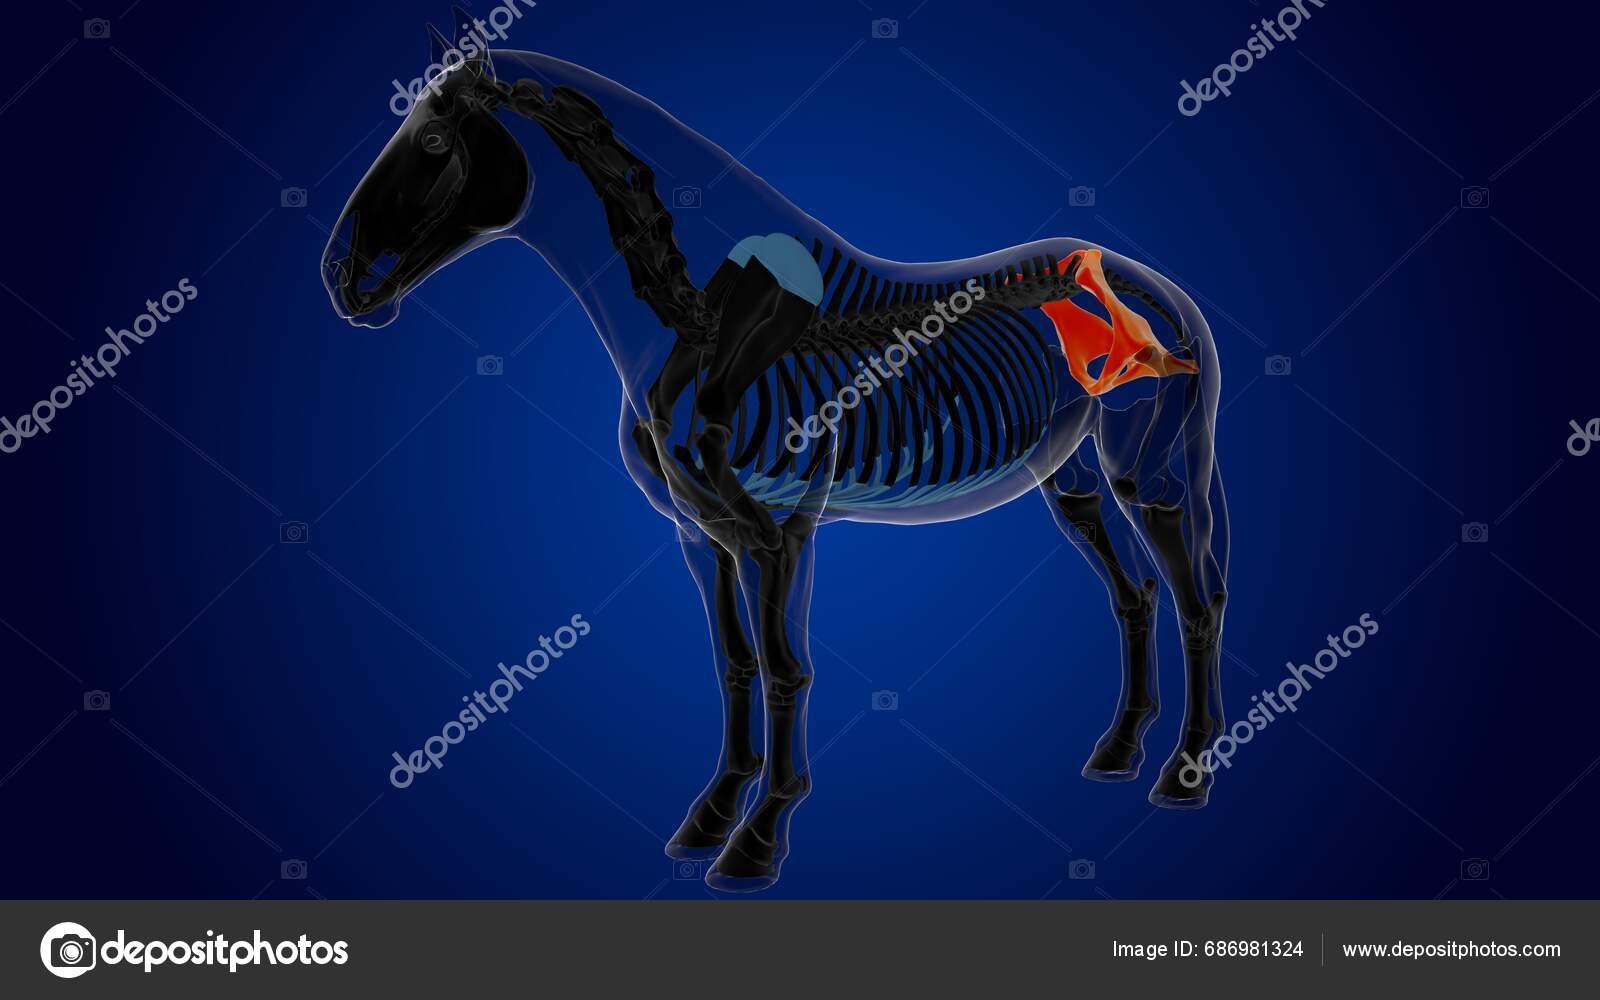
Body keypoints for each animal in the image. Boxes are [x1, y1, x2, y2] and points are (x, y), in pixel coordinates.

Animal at [320, 19, 1229, 892]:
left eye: (434, 140)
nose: (339, 279)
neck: (700, 322)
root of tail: (1152, 281)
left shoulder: (778, 527)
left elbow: (787, 669)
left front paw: (758, 842)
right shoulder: (698, 533)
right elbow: (734, 664)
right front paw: (709, 819)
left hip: (1150, 471)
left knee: (1197, 599)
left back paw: (1184, 776)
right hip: (1072, 476)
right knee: (1138, 593)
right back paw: (1118, 753)